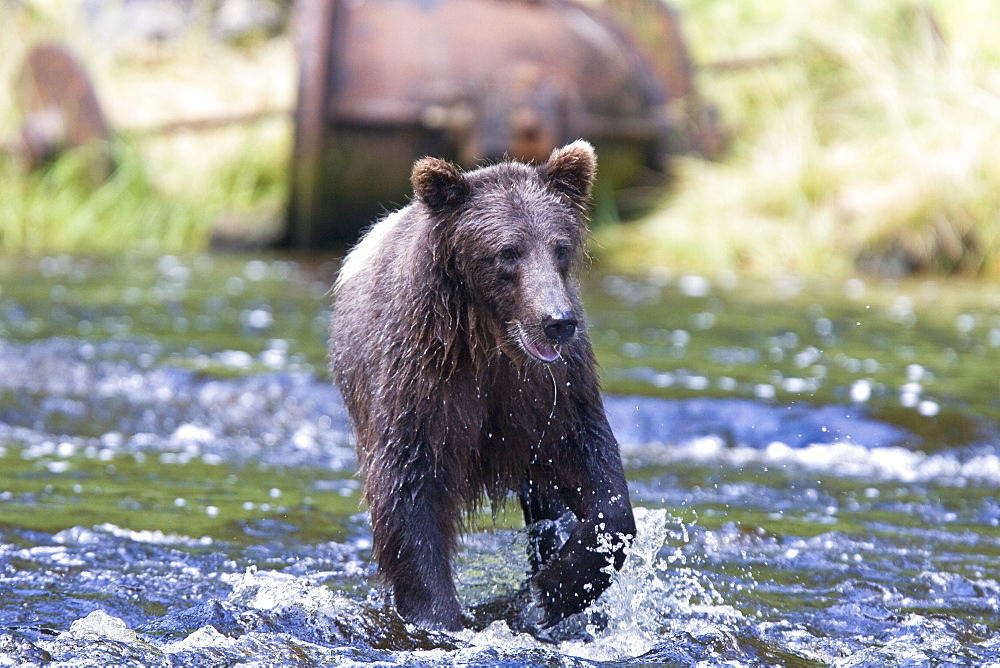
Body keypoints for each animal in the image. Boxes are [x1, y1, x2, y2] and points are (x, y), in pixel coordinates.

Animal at [332, 141, 636, 632]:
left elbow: (602, 486)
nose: (557, 321)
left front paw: (547, 592)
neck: (491, 343)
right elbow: (408, 495)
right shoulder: (421, 384)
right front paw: (438, 616)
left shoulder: (550, 394)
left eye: (560, 247)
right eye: (507, 251)